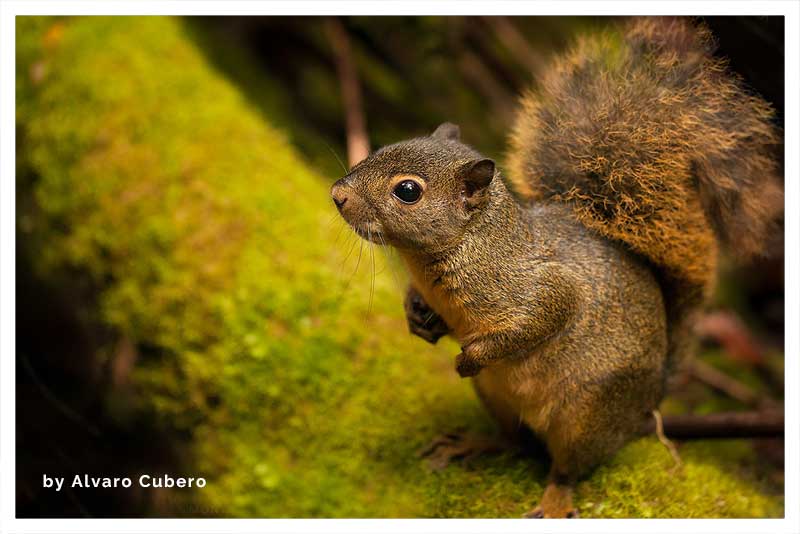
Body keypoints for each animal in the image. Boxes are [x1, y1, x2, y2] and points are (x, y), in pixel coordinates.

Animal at [330, 16, 780, 520]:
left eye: (407, 191)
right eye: (383, 147)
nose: (337, 194)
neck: (462, 249)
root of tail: (647, 408)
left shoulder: (543, 287)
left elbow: (540, 320)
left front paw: (472, 357)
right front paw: (418, 318)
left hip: (587, 418)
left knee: (567, 467)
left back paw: (555, 498)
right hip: (498, 400)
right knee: (512, 440)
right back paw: (472, 443)